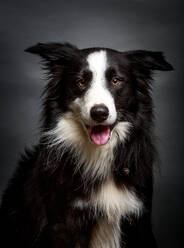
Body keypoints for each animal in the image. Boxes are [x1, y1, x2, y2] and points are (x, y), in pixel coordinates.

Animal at [0, 42, 172, 246]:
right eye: (81, 82)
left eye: (116, 81)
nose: (99, 113)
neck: (98, 154)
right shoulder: (63, 224)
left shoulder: (138, 218)